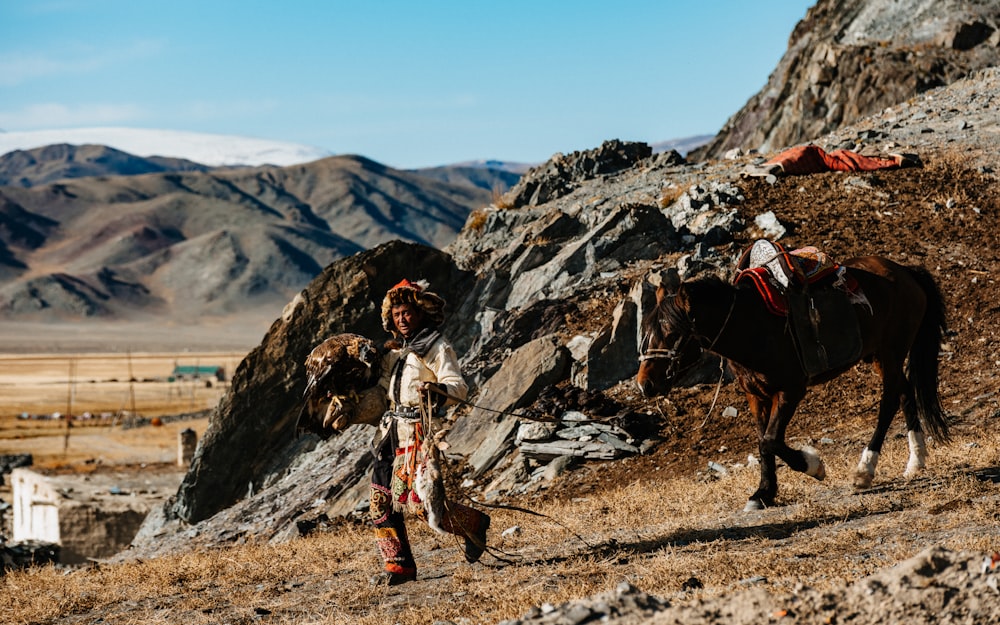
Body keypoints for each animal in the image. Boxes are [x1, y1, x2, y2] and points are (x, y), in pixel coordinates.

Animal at [636, 256, 948, 510]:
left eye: (672, 333)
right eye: (648, 330)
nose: (645, 384)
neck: (751, 326)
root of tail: (906, 272)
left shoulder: (790, 391)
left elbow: (771, 440)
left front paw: (813, 466)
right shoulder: (756, 396)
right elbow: (763, 442)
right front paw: (763, 493)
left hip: (891, 351)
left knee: (889, 402)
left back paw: (865, 470)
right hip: (879, 356)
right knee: (905, 392)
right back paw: (916, 460)